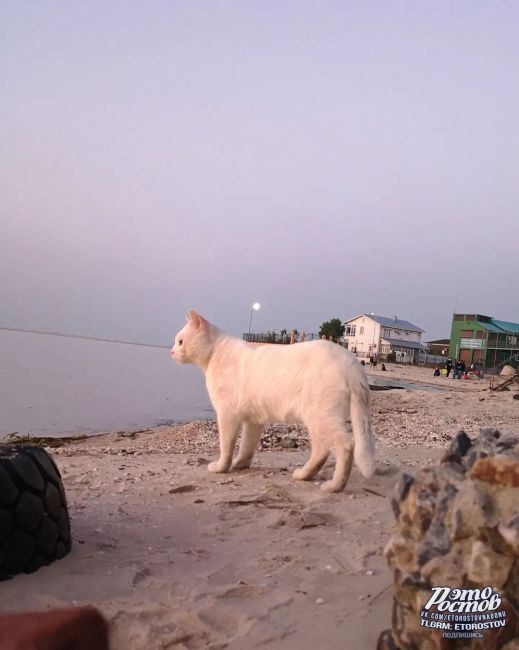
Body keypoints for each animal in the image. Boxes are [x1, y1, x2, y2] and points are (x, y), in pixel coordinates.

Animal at [173, 310, 376, 492]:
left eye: (180, 341)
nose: (172, 352)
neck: (216, 353)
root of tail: (351, 361)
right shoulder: (254, 421)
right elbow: (247, 446)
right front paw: (241, 464)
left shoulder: (227, 415)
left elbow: (226, 446)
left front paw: (221, 468)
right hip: (316, 419)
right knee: (321, 450)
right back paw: (304, 475)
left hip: (321, 416)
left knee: (346, 446)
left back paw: (334, 486)